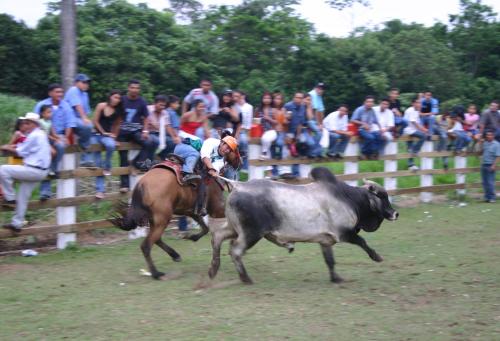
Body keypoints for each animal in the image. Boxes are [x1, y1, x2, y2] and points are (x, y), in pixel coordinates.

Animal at [208, 166, 398, 282]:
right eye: (382, 196)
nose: (396, 213)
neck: (349, 199)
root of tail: (238, 185)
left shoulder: (325, 240)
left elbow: (330, 261)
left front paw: (336, 278)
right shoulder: (344, 233)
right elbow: (363, 242)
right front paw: (377, 257)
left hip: (234, 228)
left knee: (217, 237)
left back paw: (213, 270)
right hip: (251, 234)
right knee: (235, 250)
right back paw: (245, 278)